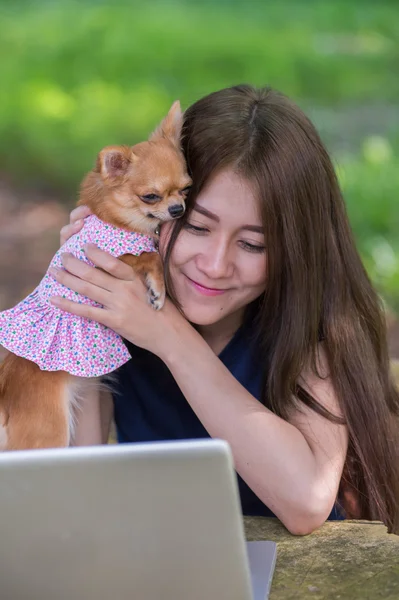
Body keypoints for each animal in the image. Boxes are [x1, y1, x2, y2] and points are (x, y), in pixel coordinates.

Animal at [0, 99, 192, 450]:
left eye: (186, 190)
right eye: (151, 196)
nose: (177, 210)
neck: (119, 220)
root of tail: (6, 390)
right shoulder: (111, 258)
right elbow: (151, 256)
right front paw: (157, 290)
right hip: (49, 433)